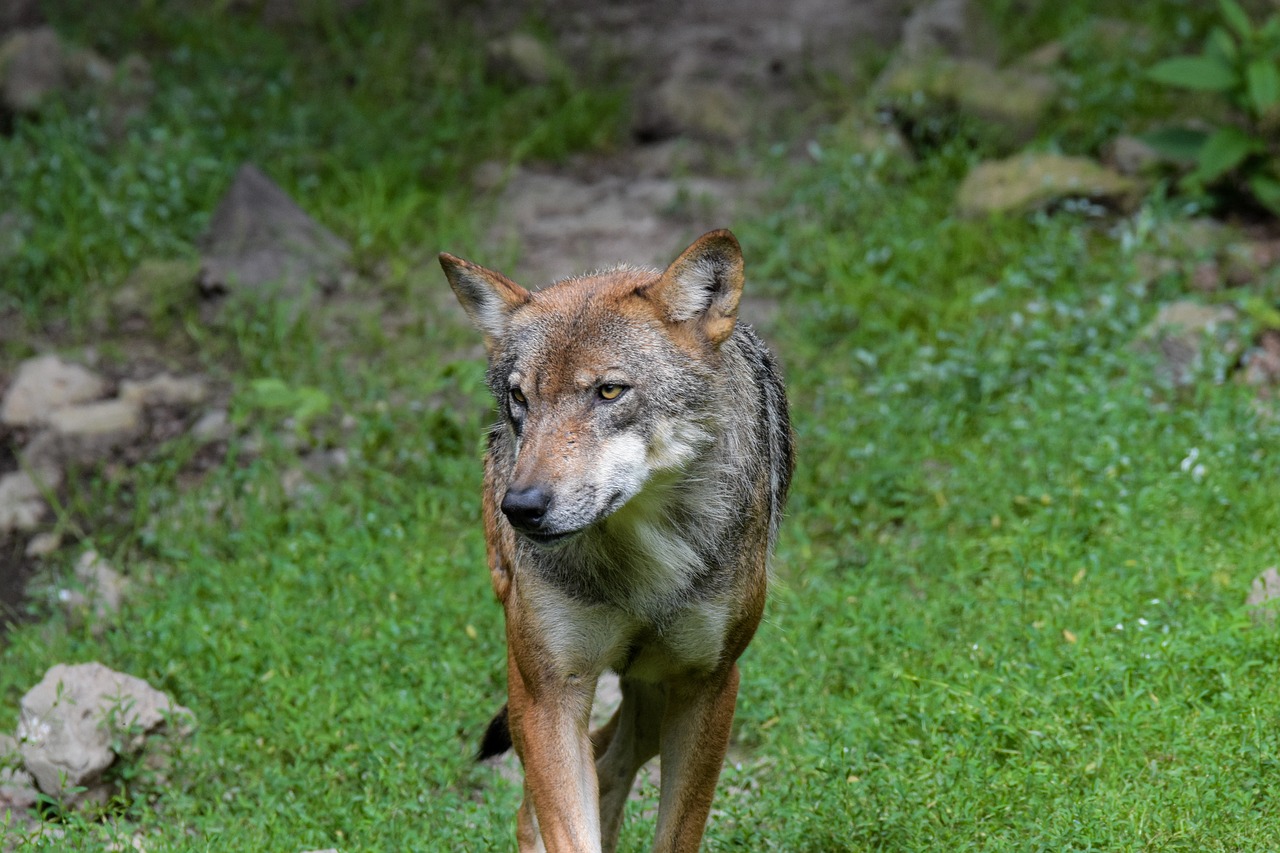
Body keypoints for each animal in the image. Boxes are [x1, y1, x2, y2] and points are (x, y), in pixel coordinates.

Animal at [439, 229, 793, 852]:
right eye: (521, 399)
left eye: (609, 391)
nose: (521, 507)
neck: (641, 558)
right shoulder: (551, 692)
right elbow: (568, 830)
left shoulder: (709, 685)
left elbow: (677, 832)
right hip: (536, 687)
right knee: (541, 803)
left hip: (652, 694)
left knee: (613, 761)